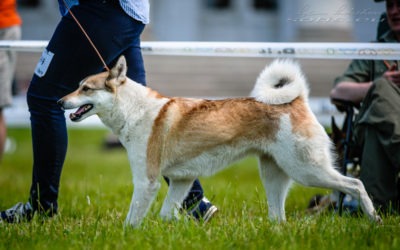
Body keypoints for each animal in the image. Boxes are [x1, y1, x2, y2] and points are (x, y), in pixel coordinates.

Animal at [57, 56, 382, 227]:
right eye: (77, 86)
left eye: (86, 88)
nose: (59, 101)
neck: (133, 110)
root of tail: (297, 99)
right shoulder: (181, 180)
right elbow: (166, 213)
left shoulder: (146, 182)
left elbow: (132, 219)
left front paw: (129, 235)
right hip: (274, 175)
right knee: (279, 216)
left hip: (307, 171)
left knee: (355, 183)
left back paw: (374, 218)